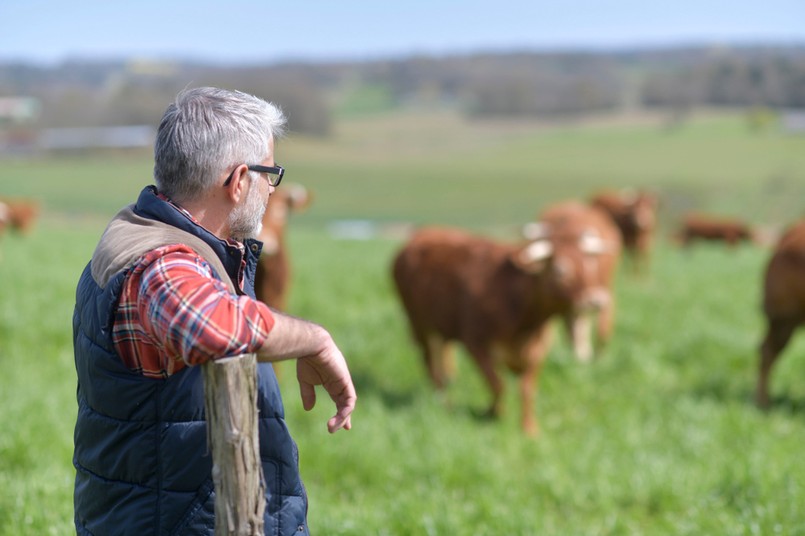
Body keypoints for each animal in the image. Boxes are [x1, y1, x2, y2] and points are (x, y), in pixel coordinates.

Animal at [392, 201, 620, 436]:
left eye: (591, 264)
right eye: (559, 270)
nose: (597, 300)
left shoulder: (538, 350)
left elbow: (527, 389)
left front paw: (529, 428)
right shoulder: (476, 343)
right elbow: (497, 384)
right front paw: (495, 413)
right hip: (417, 322)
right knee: (429, 362)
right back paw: (443, 401)